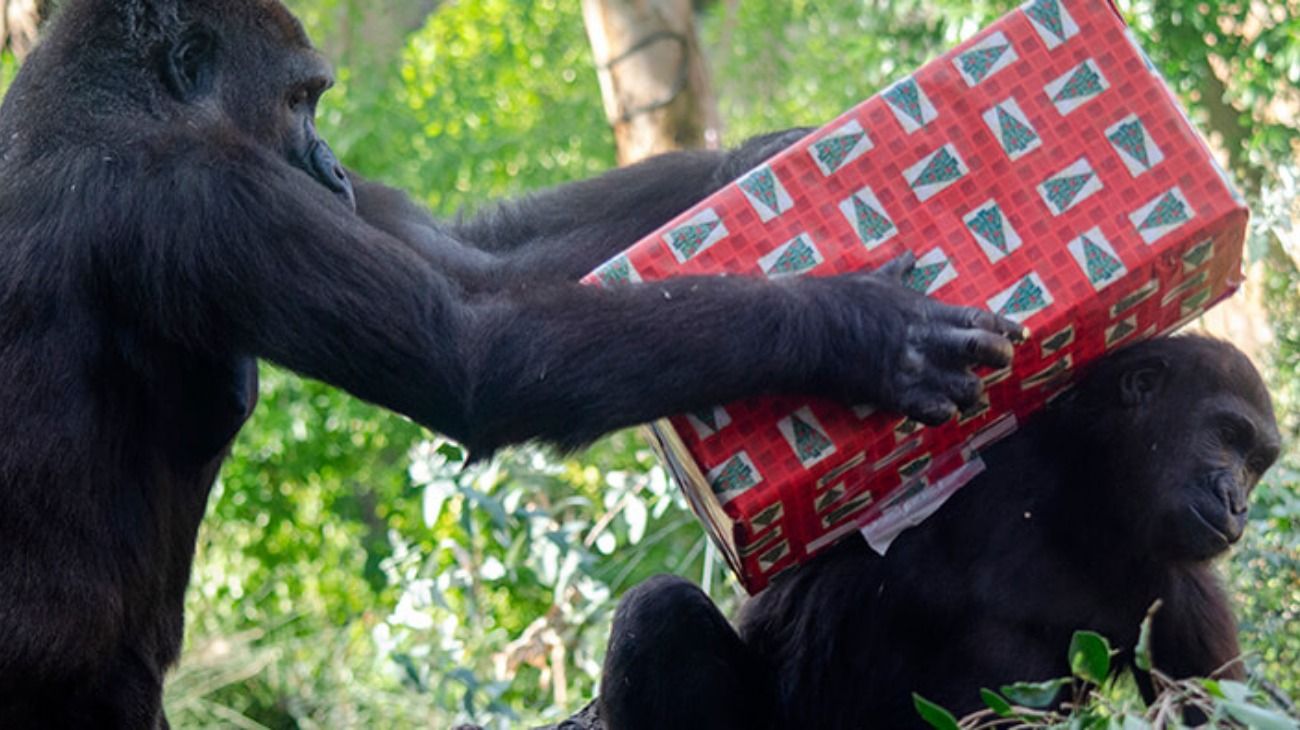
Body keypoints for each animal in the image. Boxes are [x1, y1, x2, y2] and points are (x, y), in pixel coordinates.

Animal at [0, 1, 1019, 727]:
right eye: (297, 100)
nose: (328, 166)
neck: (113, 98)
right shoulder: (199, 190)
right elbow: (475, 351)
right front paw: (857, 329)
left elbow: (475, 259)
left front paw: (765, 154)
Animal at [598, 335, 1279, 727]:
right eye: (1228, 435)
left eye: (1257, 462)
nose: (1237, 500)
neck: (1084, 492)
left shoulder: (1187, 596)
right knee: (659, 609)